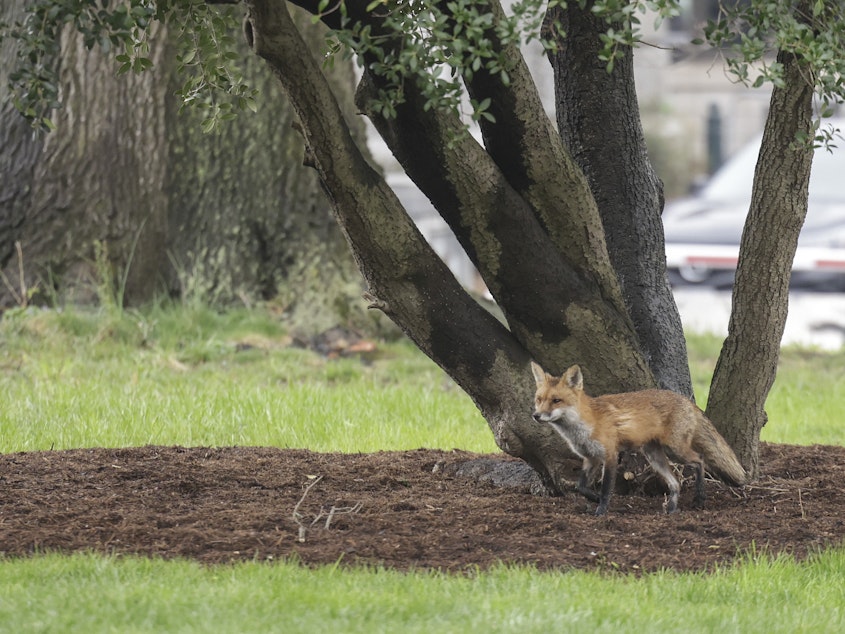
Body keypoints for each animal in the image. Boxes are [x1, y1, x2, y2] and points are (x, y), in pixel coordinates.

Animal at [532, 360, 740, 512]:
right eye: (539, 399)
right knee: (675, 483)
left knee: (700, 460)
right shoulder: (590, 457)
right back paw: (672, 510)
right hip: (654, 456)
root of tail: (687, 401)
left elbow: (606, 488)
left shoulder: (610, 455)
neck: (584, 424)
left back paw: (699, 499)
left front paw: (601, 510)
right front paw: (594, 499)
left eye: (556, 400)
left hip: (675, 450)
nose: (536, 416)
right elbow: (580, 487)